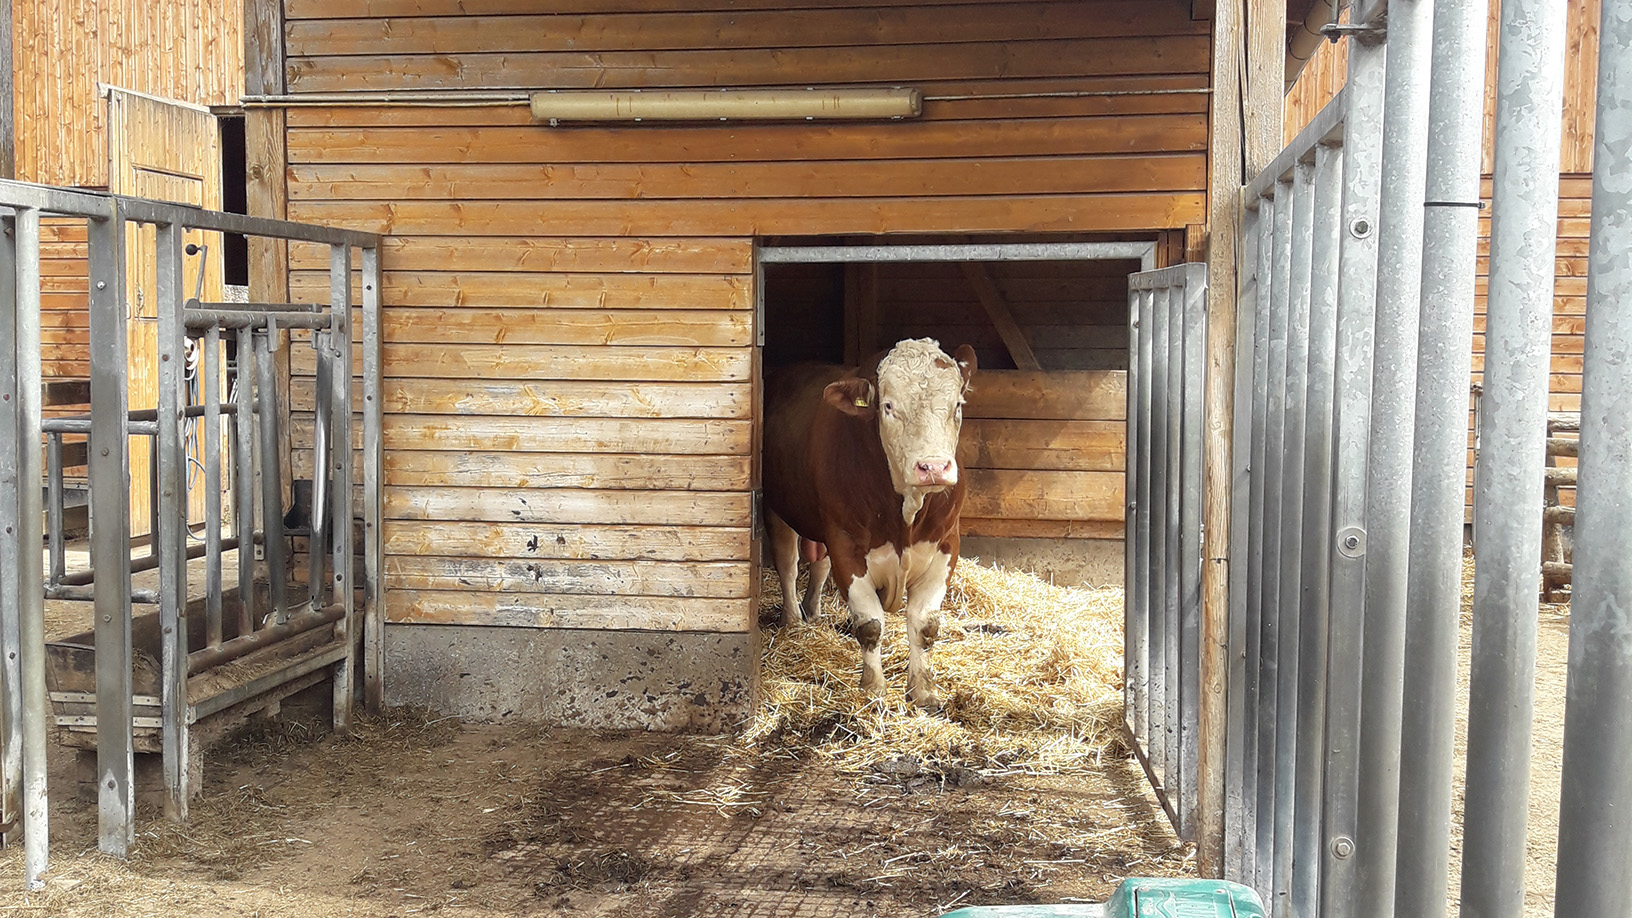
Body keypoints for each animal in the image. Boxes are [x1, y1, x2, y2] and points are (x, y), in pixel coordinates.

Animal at [762, 338, 977, 712]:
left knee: (818, 565)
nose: (933, 468)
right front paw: (874, 689)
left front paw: (923, 692)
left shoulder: (946, 544)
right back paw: (794, 621)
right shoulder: (847, 544)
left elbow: (925, 625)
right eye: (888, 406)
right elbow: (870, 624)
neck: (906, 515)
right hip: (778, 507)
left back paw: (813, 611)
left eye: (957, 405)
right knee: (787, 563)